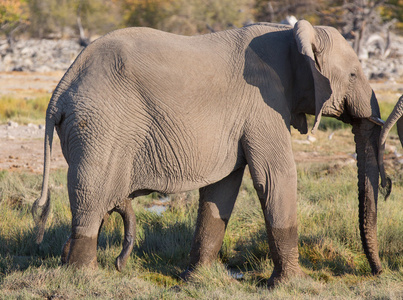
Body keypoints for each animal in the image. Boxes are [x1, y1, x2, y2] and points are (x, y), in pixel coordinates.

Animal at [33, 19, 390, 288]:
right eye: (354, 75)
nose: (377, 272)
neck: (291, 34)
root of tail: (60, 89)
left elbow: (223, 187)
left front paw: (196, 279)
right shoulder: (263, 103)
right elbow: (276, 176)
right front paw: (292, 285)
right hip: (99, 125)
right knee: (91, 196)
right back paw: (83, 277)